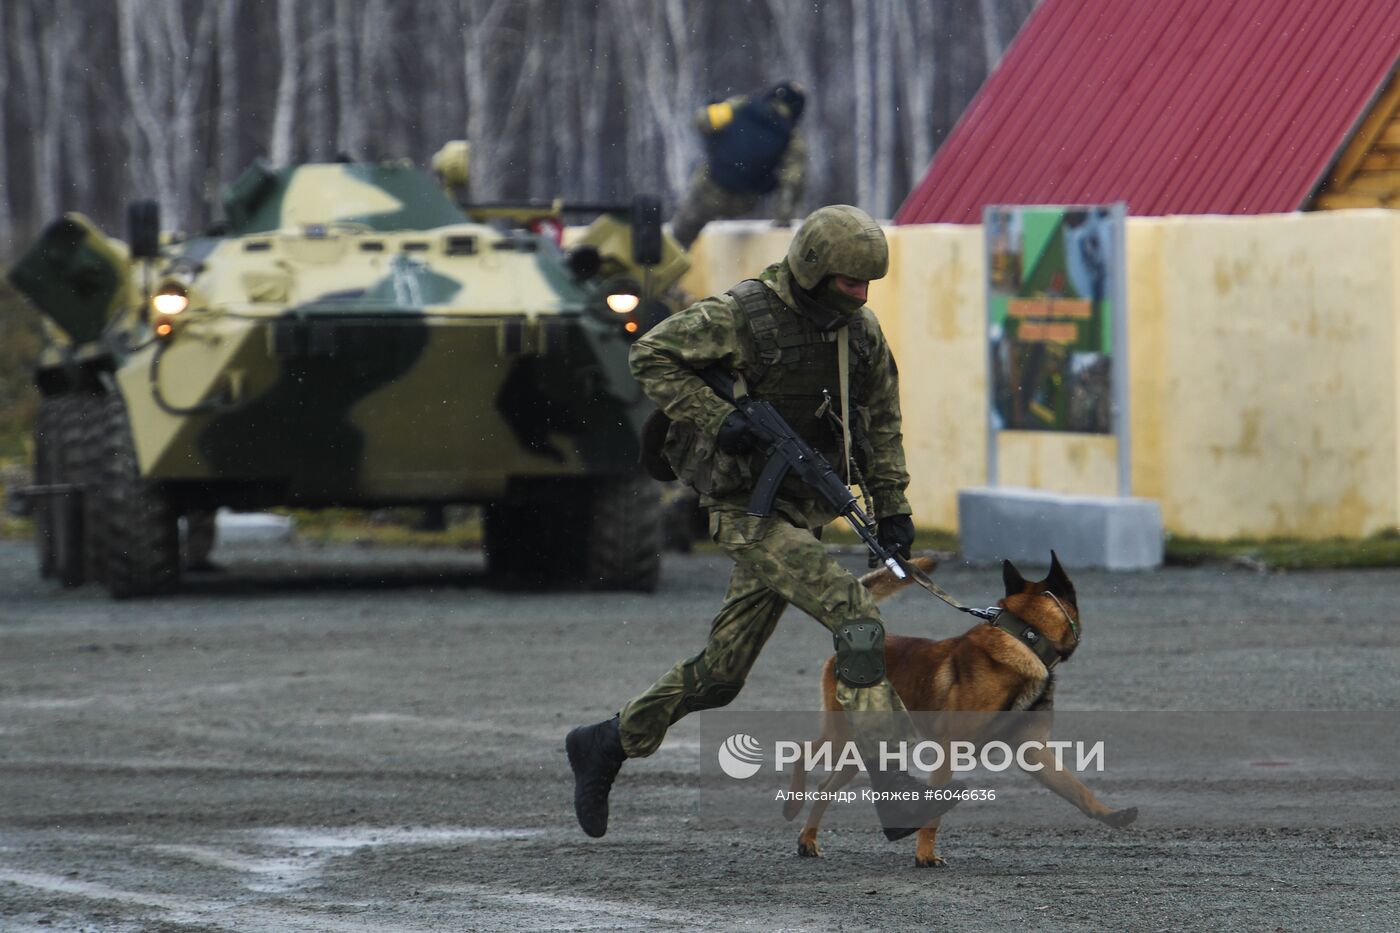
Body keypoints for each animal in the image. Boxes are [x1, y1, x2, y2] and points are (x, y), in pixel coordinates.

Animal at [789, 549, 1136, 862]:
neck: (1025, 638)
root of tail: (846, 641)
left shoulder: (1034, 752)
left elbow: (1078, 790)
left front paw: (1111, 814)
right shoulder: (950, 748)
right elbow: (933, 814)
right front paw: (925, 856)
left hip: (864, 745)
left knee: (826, 785)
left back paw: (808, 840)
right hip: (843, 738)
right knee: (802, 752)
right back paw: (792, 805)